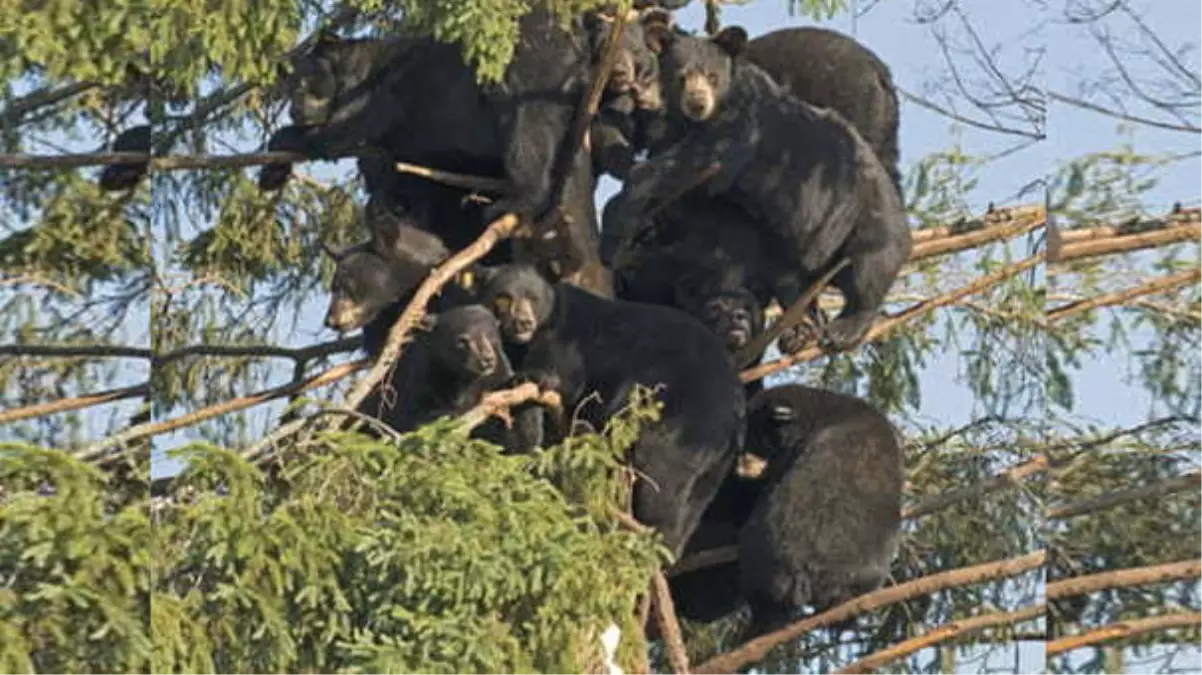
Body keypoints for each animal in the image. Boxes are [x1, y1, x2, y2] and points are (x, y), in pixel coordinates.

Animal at [475, 260, 745, 554]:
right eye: (503, 297)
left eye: (533, 297)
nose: (523, 322)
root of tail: (735, 406)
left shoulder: (566, 339)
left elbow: (563, 378)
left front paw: (530, 377)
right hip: (717, 462)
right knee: (694, 502)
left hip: (681, 416)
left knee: (662, 478)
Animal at [610, 24, 908, 353]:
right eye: (681, 76)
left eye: (712, 77)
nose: (697, 103)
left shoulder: (741, 128)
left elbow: (692, 165)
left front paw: (622, 219)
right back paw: (801, 328)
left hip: (860, 213)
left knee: (869, 265)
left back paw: (844, 327)